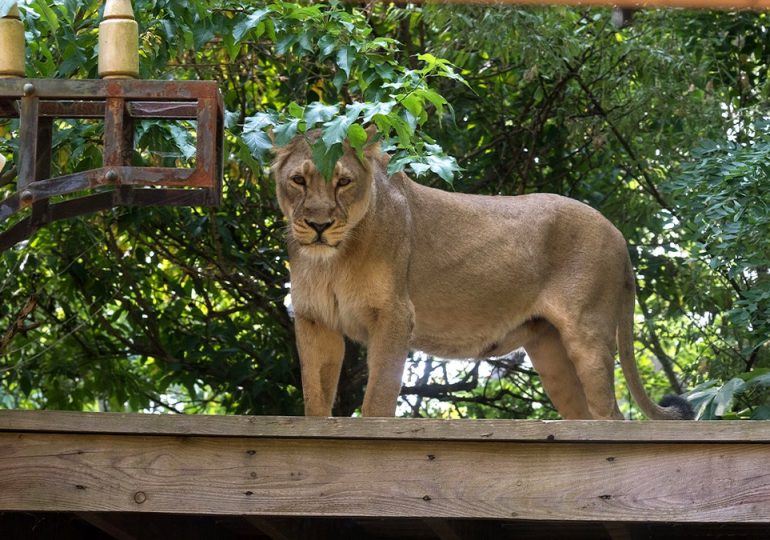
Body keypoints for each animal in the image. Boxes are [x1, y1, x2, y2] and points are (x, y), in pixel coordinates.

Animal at [271, 128, 693, 420]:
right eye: (299, 180)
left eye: (343, 181)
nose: (319, 225)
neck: (332, 261)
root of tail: (618, 234)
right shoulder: (314, 319)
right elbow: (315, 397)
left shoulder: (394, 315)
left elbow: (377, 398)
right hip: (550, 349)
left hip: (587, 334)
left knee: (612, 417)